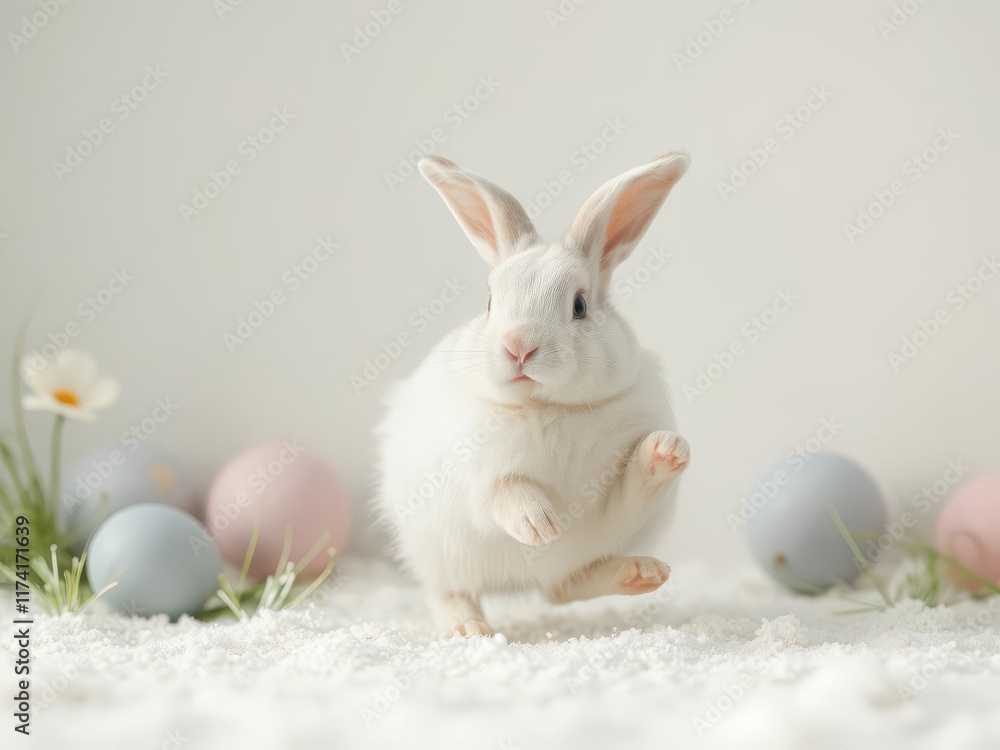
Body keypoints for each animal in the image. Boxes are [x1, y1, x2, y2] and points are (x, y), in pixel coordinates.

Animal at [375, 152, 691, 637]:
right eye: (490, 302)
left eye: (579, 305)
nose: (519, 346)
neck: (547, 407)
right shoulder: (478, 473)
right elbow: (505, 491)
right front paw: (539, 524)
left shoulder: (611, 511)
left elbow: (631, 492)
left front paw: (668, 451)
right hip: (439, 554)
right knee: (449, 592)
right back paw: (468, 628)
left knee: (562, 587)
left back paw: (640, 573)